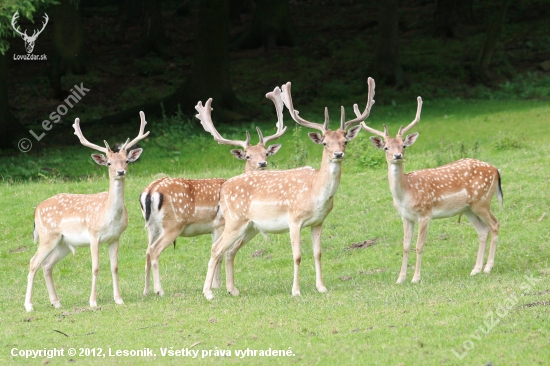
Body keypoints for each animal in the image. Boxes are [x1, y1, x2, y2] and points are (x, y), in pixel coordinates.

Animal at [24, 112, 149, 312]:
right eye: (108, 163)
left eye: (127, 161)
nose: (120, 172)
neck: (108, 216)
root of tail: (36, 210)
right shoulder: (93, 234)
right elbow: (95, 267)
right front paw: (93, 302)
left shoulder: (115, 237)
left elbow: (114, 267)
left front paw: (119, 299)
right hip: (47, 236)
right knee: (33, 262)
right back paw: (29, 305)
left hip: (62, 243)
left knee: (47, 265)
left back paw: (56, 302)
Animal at [141, 89, 288, 298]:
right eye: (248, 156)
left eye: (266, 153)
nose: (262, 163)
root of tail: (151, 191)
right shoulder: (220, 223)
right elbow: (219, 252)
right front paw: (218, 286)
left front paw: (218, 285)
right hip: (173, 224)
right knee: (154, 251)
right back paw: (159, 290)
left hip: (151, 227)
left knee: (146, 251)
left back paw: (146, 291)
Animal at [204, 78, 380, 300]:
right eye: (324, 143)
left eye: (345, 141)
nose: (338, 154)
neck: (315, 193)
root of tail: (223, 187)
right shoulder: (294, 219)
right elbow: (297, 256)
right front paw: (296, 290)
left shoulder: (318, 221)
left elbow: (318, 253)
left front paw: (321, 287)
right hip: (235, 220)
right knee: (215, 248)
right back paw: (208, 293)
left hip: (250, 226)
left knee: (228, 250)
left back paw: (232, 290)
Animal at [362, 94, 504, 284]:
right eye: (386, 147)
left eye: (403, 146)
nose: (397, 156)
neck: (406, 192)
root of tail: (496, 169)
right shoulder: (406, 217)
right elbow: (405, 246)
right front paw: (400, 279)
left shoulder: (425, 213)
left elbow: (419, 246)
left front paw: (416, 278)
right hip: (468, 208)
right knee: (483, 230)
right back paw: (476, 270)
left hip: (481, 201)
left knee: (495, 224)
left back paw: (488, 267)